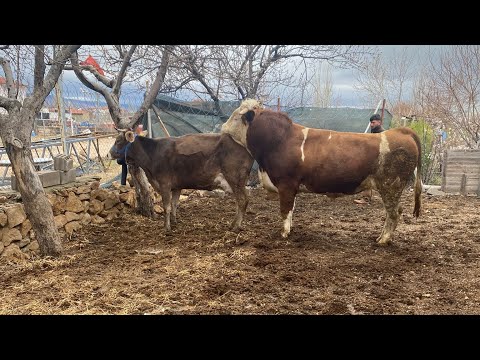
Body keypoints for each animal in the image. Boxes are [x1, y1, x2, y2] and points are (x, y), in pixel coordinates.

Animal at [110, 131, 255, 235]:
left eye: (118, 141)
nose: (109, 153)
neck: (151, 155)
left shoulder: (165, 184)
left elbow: (167, 206)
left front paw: (166, 227)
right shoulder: (177, 187)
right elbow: (174, 204)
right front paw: (174, 222)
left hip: (235, 179)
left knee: (243, 200)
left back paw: (236, 226)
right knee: (240, 201)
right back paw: (233, 224)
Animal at [221, 98, 420, 245]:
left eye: (236, 117)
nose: (222, 127)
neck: (279, 141)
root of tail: (400, 131)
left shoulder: (286, 184)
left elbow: (285, 210)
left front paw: (283, 233)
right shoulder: (292, 187)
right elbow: (291, 210)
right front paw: (290, 229)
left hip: (390, 186)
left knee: (394, 213)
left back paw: (383, 240)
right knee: (393, 212)